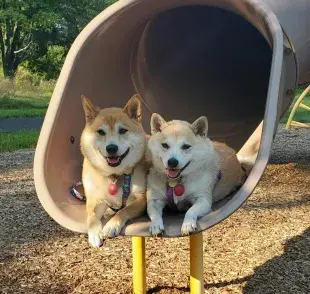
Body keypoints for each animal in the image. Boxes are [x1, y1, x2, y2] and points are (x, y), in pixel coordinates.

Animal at [80, 95, 148, 247]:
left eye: (122, 130)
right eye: (101, 132)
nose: (111, 148)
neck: (115, 175)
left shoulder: (142, 199)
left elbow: (124, 210)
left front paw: (112, 225)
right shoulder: (95, 199)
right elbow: (91, 216)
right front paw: (94, 233)